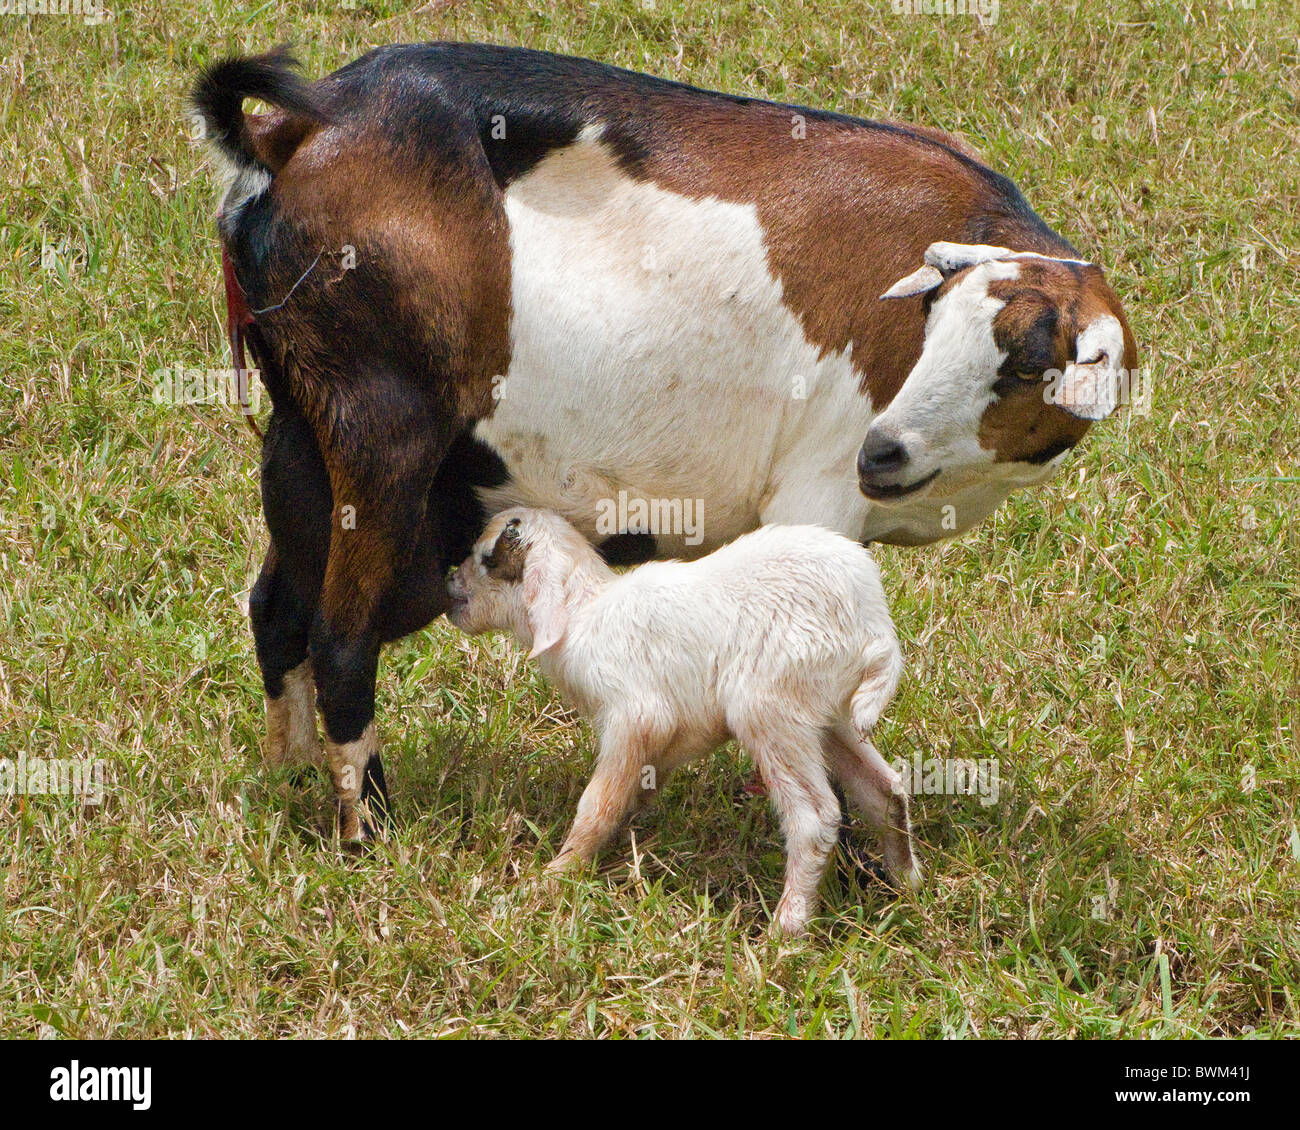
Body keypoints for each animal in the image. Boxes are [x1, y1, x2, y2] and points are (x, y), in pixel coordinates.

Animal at [452, 507, 920, 931]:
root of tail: (875, 628)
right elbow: (636, 790)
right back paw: (906, 883)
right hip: (827, 714)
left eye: (487, 557)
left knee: (815, 819)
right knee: (885, 790)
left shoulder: (637, 715)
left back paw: (786, 930)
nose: (448, 583)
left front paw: (553, 878)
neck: (584, 612)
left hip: (769, 706)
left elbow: (597, 806)